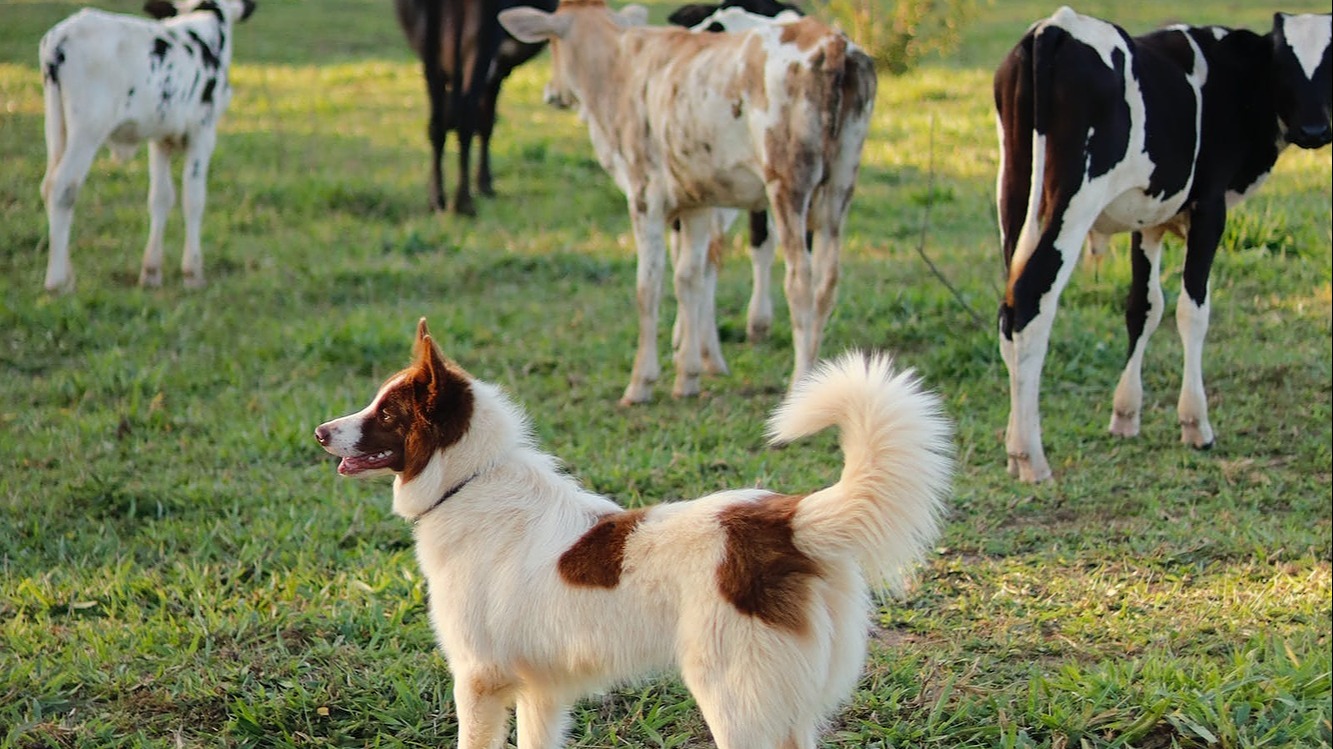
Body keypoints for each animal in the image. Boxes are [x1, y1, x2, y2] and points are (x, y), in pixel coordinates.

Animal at [317, 317, 954, 741]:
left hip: (735, 701)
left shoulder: (478, 681)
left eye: (386, 413)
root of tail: (790, 521)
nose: (321, 432)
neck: (470, 480)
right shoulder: (541, 693)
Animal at [391, 0, 554, 214]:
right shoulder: (497, 70)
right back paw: (463, 202)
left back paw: (437, 198)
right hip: (481, 34)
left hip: (429, 37)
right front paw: (484, 185)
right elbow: (486, 123)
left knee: (437, 123)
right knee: (465, 119)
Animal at [501, 0, 874, 402]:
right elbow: (689, 277)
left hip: (788, 183)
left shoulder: (645, 195)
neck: (621, 64)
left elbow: (648, 287)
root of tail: (834, 42)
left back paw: (800, 384)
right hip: (841, 185)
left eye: (551, 43)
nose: (551, 91)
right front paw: (688, 376)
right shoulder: (697, 202)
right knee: (827, 280)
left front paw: (641, 382)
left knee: (800, 281)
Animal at [997, 7, 1327, 477]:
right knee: (1030, 303)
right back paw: (1030, 457)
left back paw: (1012, 451)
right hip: (1073, 201)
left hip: (1015, 190)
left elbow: (1143, 307)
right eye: (1285, 62)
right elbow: (1192, 311)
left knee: (1008, 312)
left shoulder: (1148, 219)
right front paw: (1195, 424)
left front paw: (1125, 414)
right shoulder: (1210, 209)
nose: (1315, 129)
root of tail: (1057, 27)